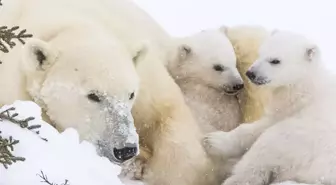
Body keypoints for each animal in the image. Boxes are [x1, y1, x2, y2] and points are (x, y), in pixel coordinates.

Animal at [0, 0, 217, 185]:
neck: (70, 25)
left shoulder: (145, 76)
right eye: (93, 95)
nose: (125, 149)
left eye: (131, 94)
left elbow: (169, 115)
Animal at [203, 30, 336, 185]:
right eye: (260, 53)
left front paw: (213, 140)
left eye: (275, 61)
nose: (250, 73)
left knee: (261, 154)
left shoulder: (295, 108)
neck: (306, 85)